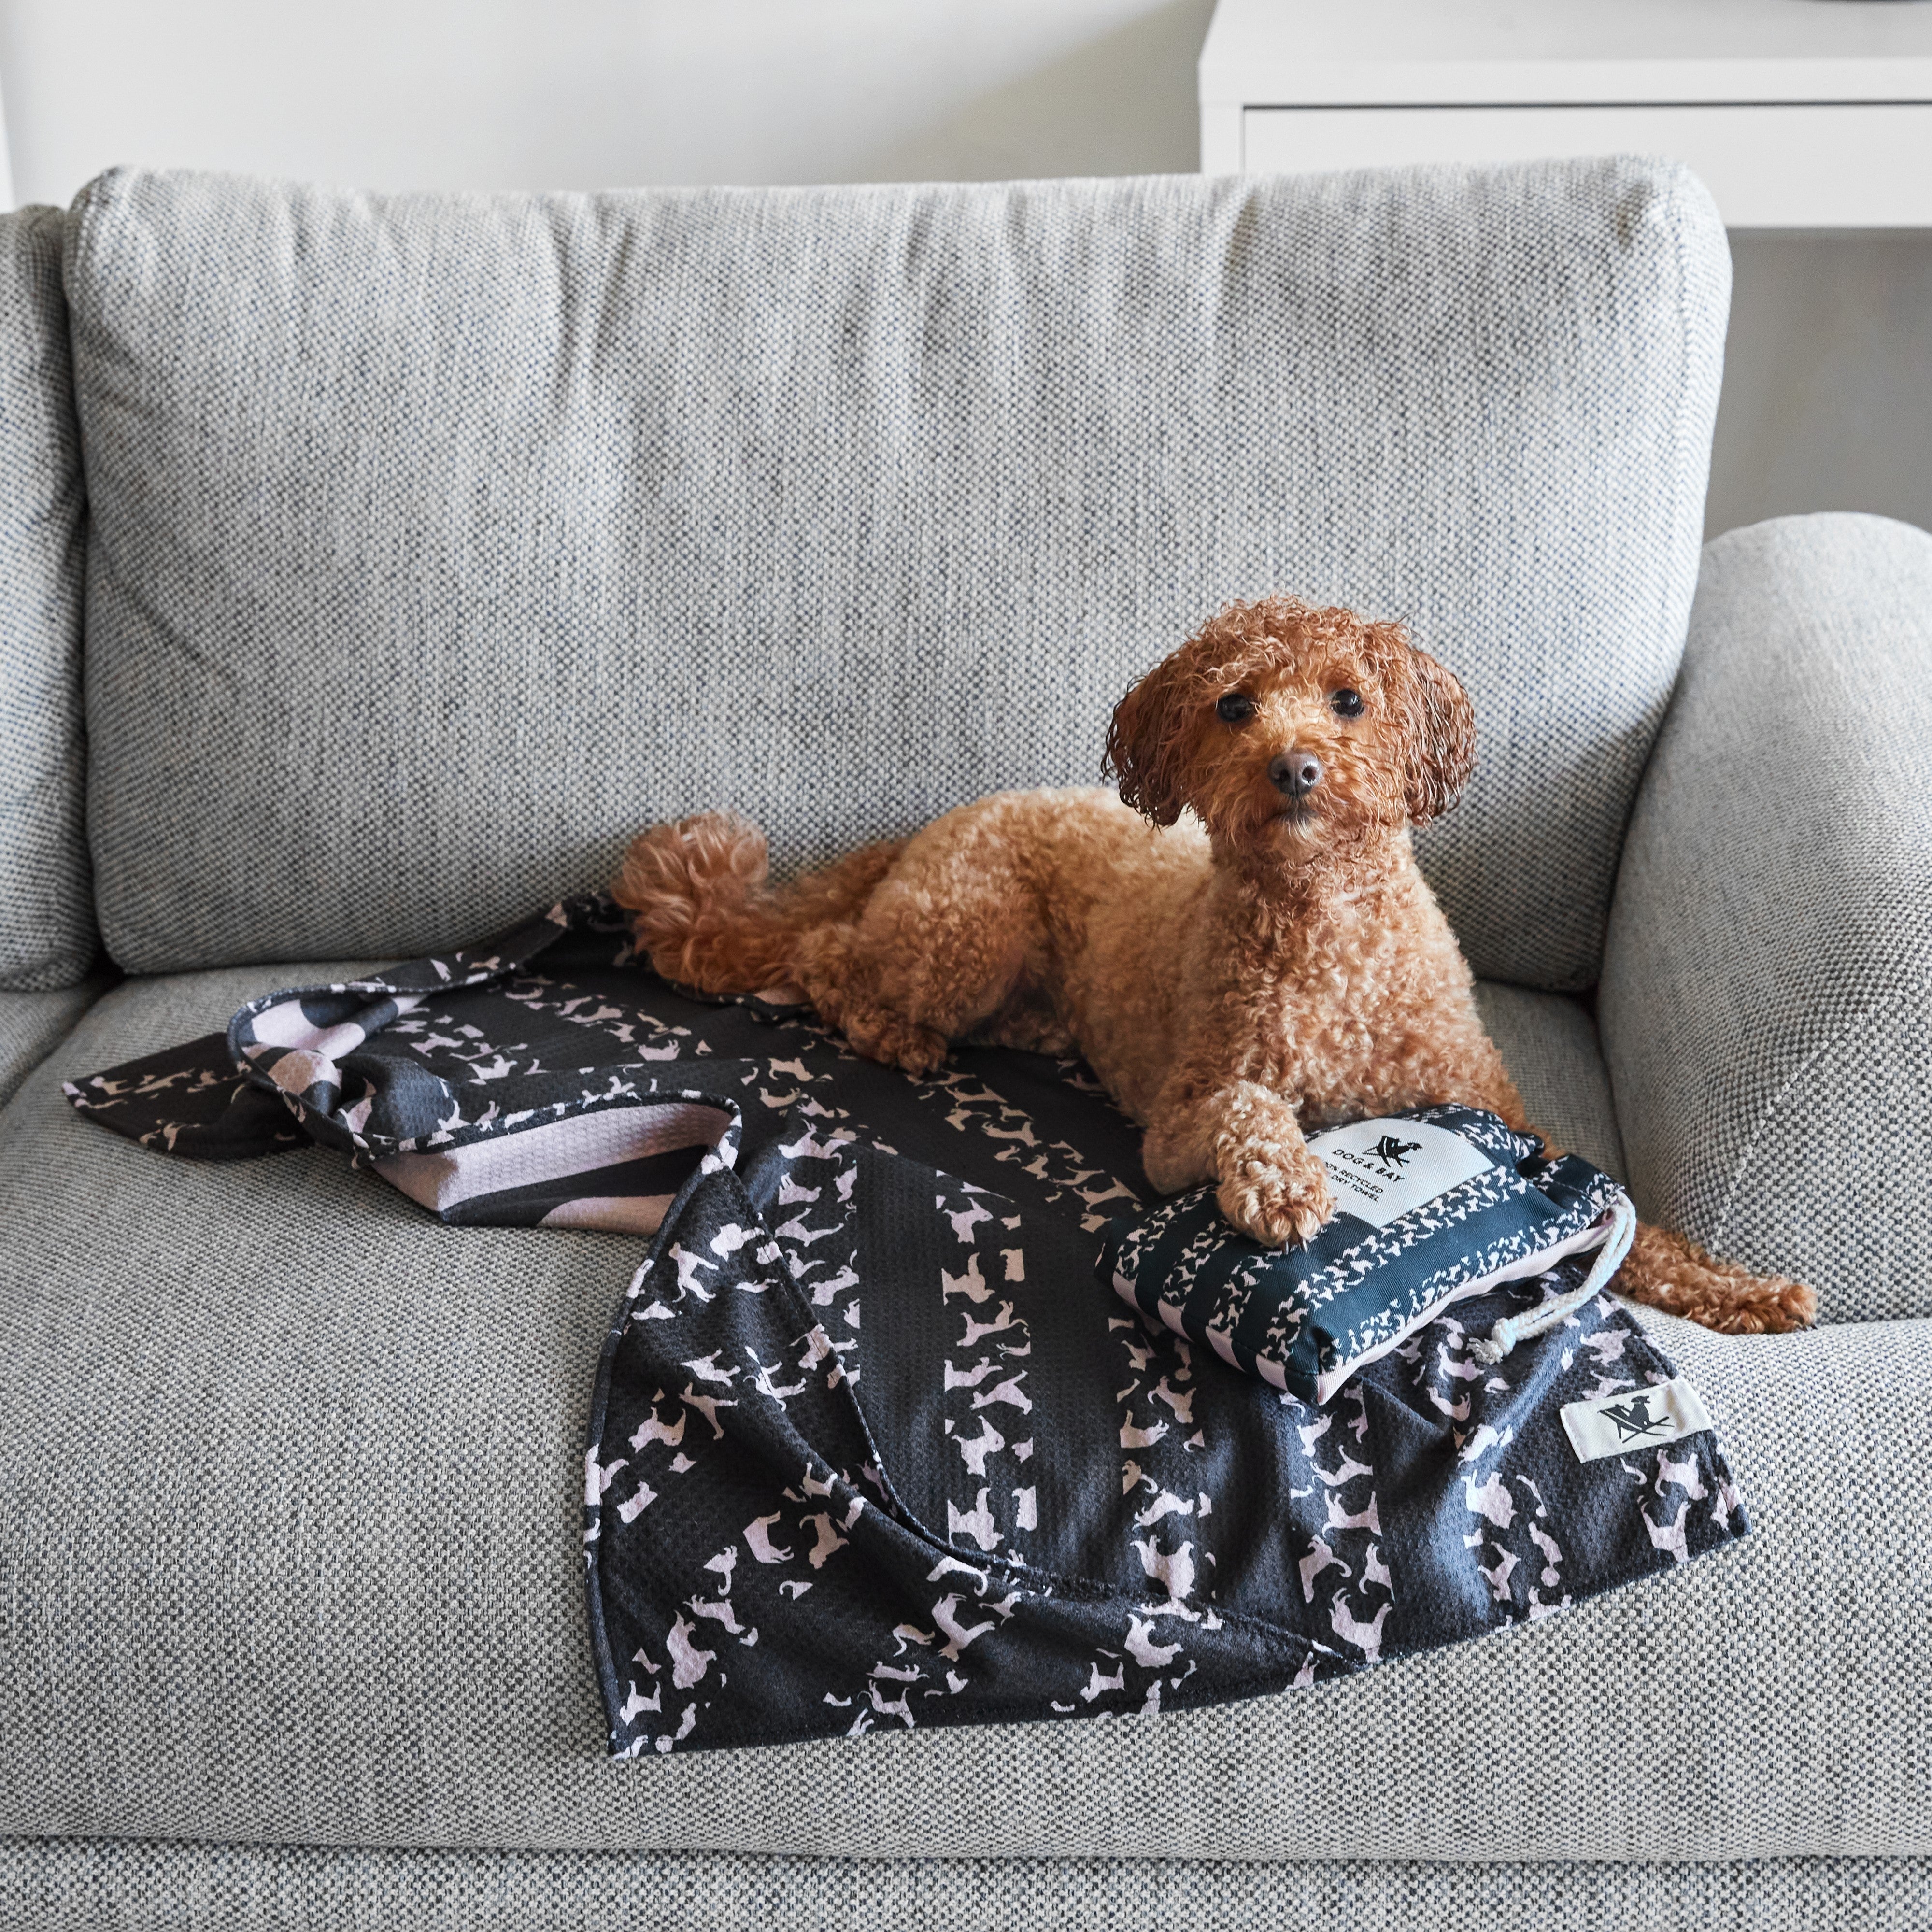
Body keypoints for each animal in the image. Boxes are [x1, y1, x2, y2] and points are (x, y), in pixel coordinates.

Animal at [622, 595, 1824, 1337]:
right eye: (1231, 705)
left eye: (1349, 699)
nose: (1291, 766)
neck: (1326, 934)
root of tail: (931, 825)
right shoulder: (1178, 1119)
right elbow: (1250, 1105)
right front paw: (1283, 1181)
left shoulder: (1498, 1113)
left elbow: (1637, 1225)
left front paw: (1736, 1287)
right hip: (967, 929)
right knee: (829, 957)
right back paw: (892, 1030)